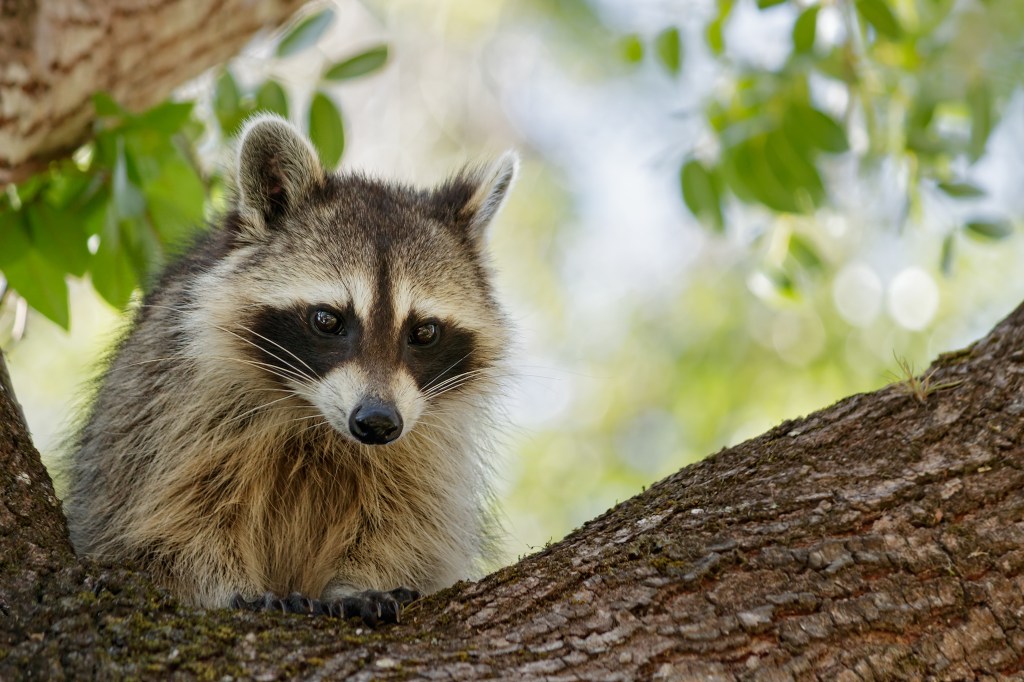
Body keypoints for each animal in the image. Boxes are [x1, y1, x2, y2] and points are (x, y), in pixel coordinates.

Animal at [63, 114, 517, 624]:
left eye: (423, 332)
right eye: (328, 320)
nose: (378, 423)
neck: (315, 418)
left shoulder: (429, 444)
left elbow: (409, 525)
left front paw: (360, 582)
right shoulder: (165, 406)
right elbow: (167, 524)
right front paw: (223, 585)